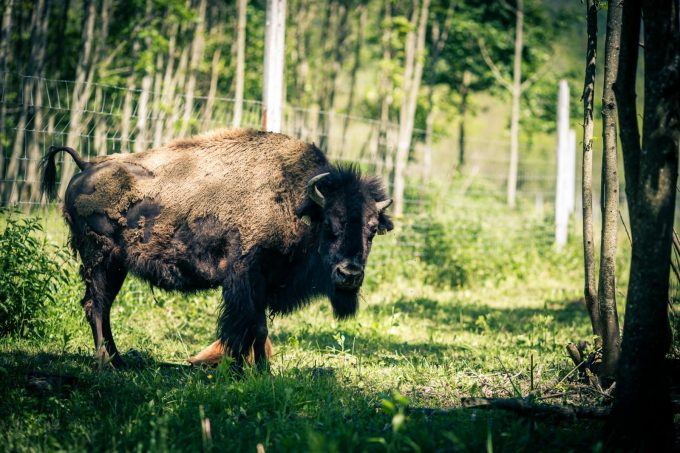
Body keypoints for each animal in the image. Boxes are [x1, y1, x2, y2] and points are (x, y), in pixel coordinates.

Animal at [41, 127, 394, 368]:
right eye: (331, 225)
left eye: (372, 230)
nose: (349, 274)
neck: (297, 203)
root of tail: (86, 165)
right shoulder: (245, 279)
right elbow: (252, 327)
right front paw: (251, 371)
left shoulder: (261, 285)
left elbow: (257, 328)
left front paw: (258, 370)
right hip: (100, 260)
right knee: (97, 306)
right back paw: (108, 364)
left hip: (116, 266)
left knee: (103, 308)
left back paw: (119, 361)